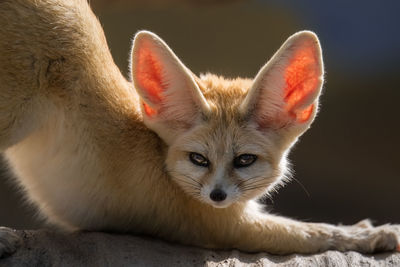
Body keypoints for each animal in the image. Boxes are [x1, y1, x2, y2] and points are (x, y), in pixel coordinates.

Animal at [0, 0, 400, 258]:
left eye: (245, 160)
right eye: (198, 159)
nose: (217, 196)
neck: (157, 151)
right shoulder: (224, 227)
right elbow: (313, 232)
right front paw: (370, 234)